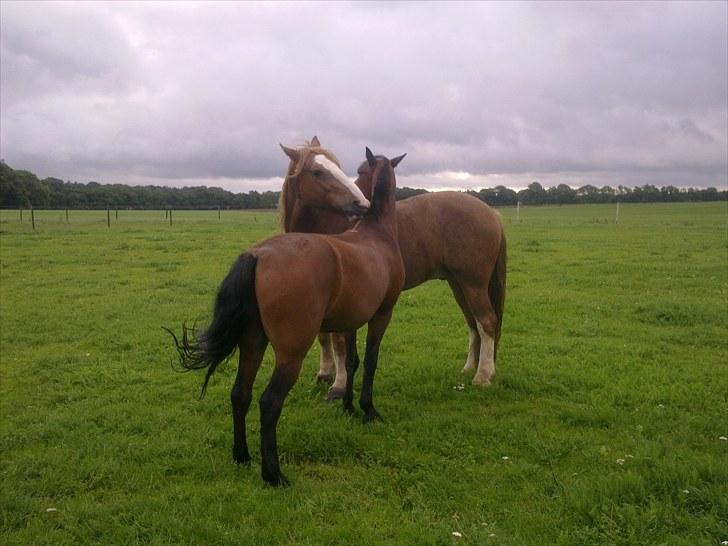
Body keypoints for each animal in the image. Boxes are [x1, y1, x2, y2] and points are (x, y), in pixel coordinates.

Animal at [168, 146, 406, 484]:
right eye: (320, 171)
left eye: (357, 170)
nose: (359, 203)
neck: (376, 232)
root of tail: (257, 255)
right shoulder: (381, 314)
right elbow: (370, 361)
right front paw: (368, 410)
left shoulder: (350, 322)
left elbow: (351, 361)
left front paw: (347, 406)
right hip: (291, 353)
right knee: (269, 402)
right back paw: (273, 474)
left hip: (252, 343)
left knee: (240, 394)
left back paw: (242, 457)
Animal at [278, 138, 506, 398]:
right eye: (318, 171)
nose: (361, 203)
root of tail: (491, 213)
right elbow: (324, 337)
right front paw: (324, 374)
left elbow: (338, 342)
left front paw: (338, 385)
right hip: (458, 283)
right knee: (472, 322)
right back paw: (470, 368)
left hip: (473, 284)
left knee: (486, 321)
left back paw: (483, 375)